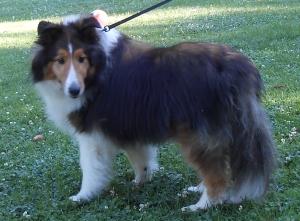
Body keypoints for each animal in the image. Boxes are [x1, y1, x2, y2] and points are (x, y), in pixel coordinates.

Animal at [31, 10, 276, 211]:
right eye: (60, 60)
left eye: (82, 58)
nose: (74, 91)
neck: (97, 68)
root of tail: (238, 68)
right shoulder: (128, 125)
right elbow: (141, 159)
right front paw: (141, 181)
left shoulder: (91, 135)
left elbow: (90, 168)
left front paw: (82, 196)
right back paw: (198, 189)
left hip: (198, 134)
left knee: (216, 173)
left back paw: (201, 205)